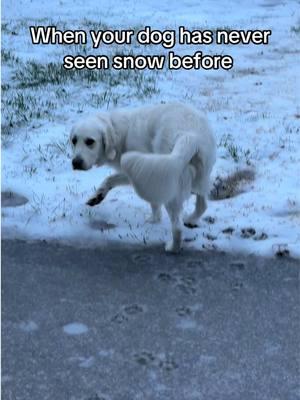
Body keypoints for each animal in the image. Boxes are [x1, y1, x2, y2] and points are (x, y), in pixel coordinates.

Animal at [70, 103, 216, 253]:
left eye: (90, 141)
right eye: (74, 140)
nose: (75, 163)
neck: (120, 133)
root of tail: (190, 136)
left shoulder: (144, 171)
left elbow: (151, 201)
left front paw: (154, 219)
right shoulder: (140, 171)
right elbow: (110, 180)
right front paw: (97, 197)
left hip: (170, 183)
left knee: (178, 227)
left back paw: (172, 247)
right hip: (199, 178)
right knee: (202, 206)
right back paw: (191, 220)